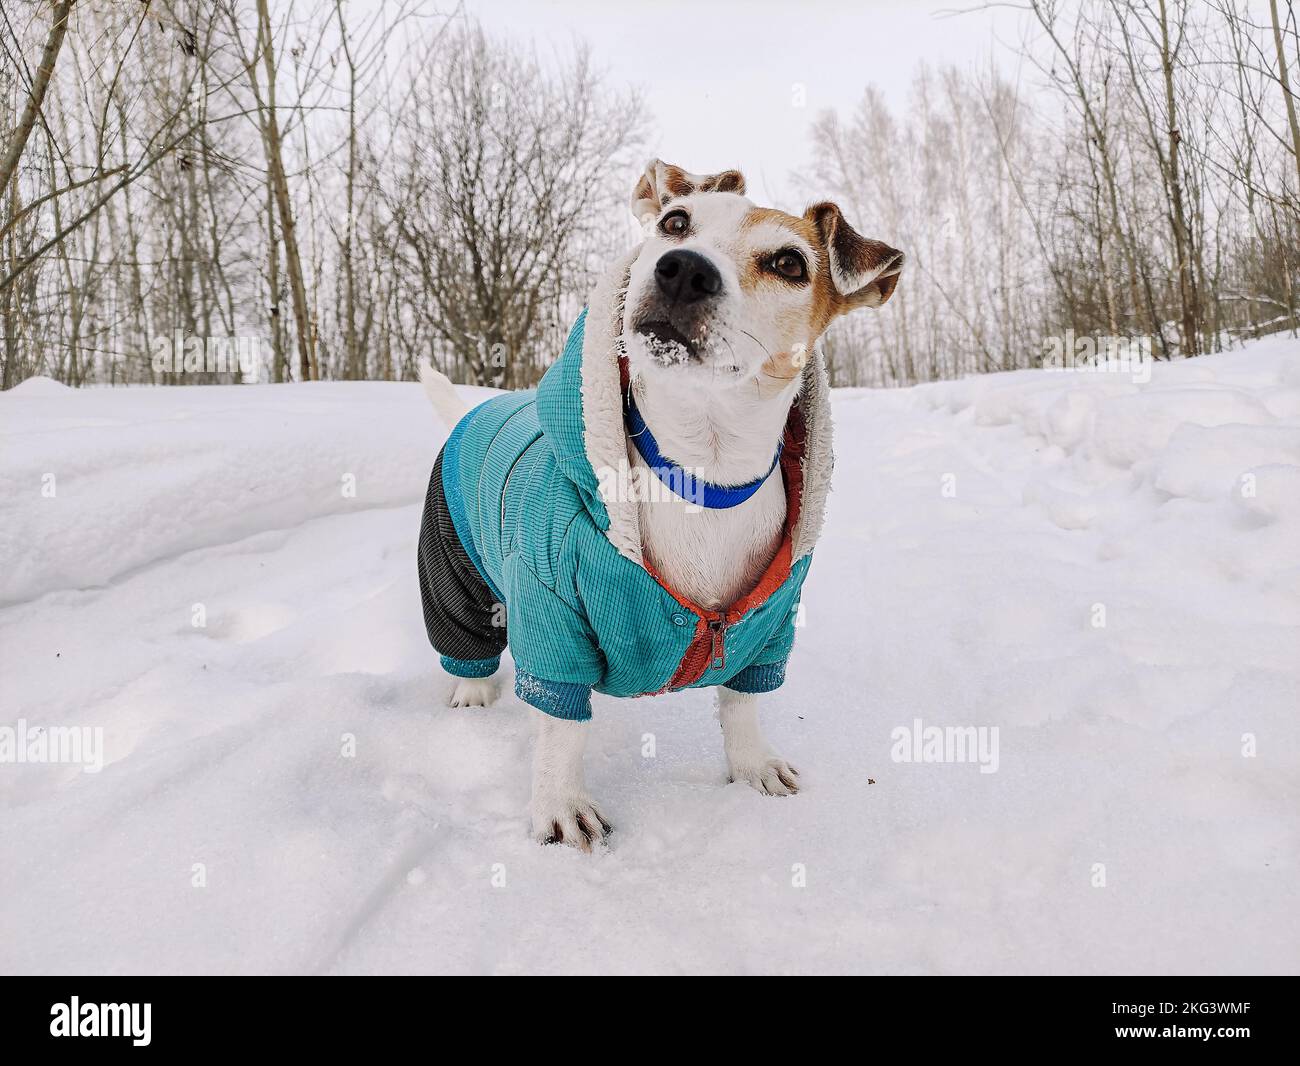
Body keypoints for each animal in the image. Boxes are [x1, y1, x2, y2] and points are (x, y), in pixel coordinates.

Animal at [418, 160, 904, 847]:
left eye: (788, 262)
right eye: (676, 223)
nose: (683, 268)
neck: (700, 474)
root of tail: (479, 408)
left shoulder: (769, 628)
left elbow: (742, 701)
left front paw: (752, 766)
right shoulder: (550, 607)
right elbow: (562, 730)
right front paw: (561, 805)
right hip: (452, 568)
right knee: (468, 642)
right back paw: (471, 693)